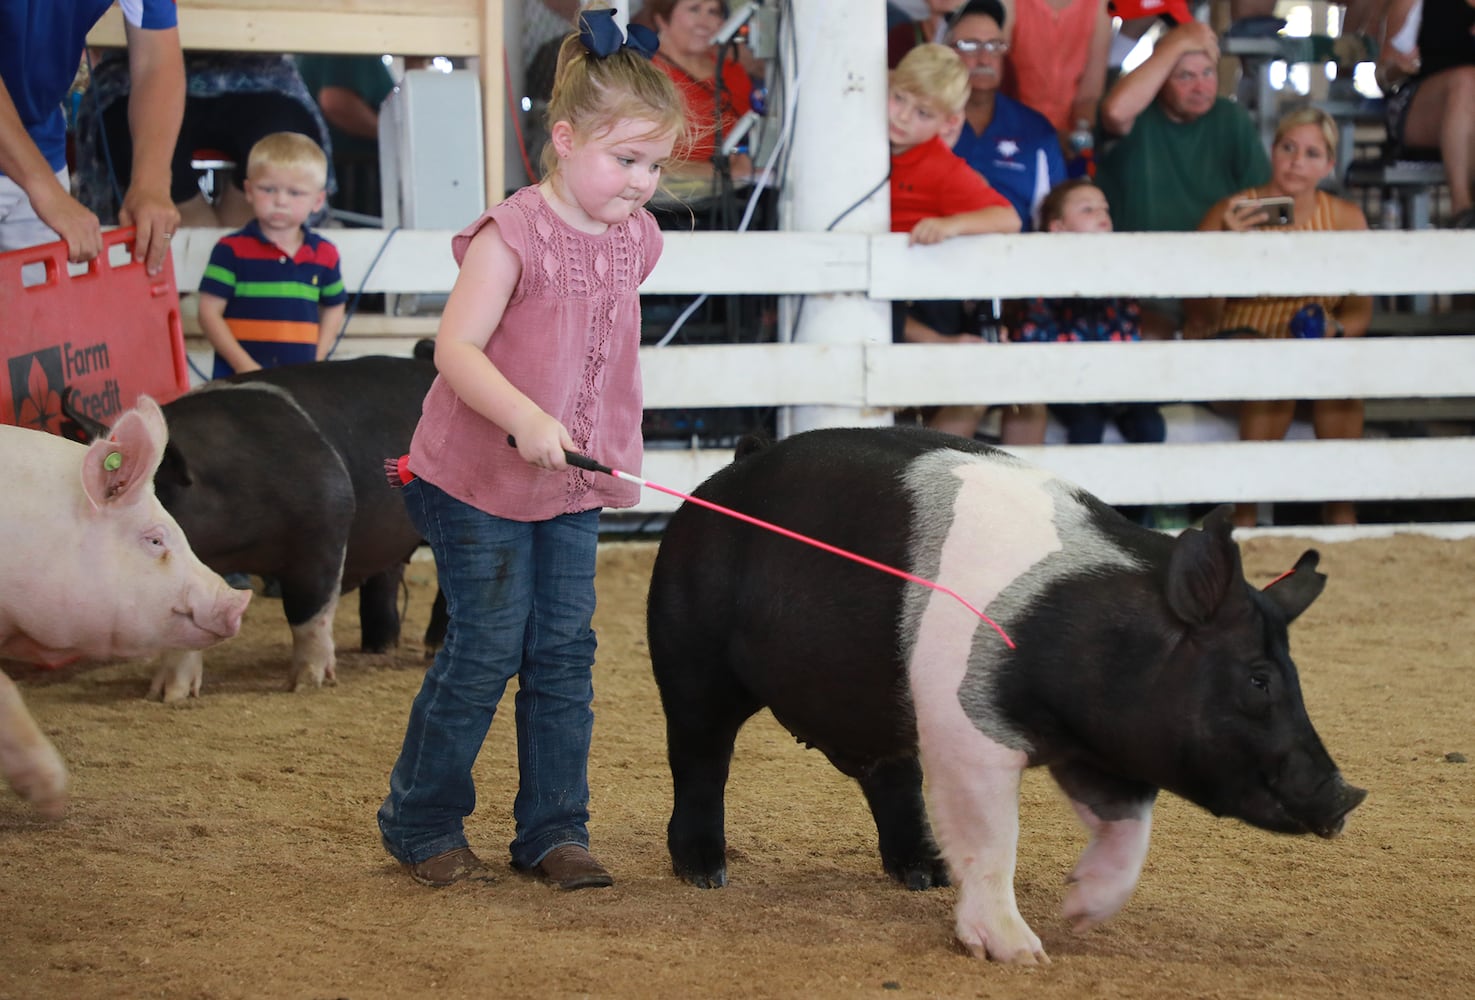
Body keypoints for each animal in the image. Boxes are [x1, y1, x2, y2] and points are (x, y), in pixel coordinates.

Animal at [66, 356, 442, 702]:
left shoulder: (326, 529)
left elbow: (308, 612)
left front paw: (305, 683)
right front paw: (166, 695)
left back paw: (431, 650)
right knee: (388, 575)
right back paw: (379, 646)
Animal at [651, 427, 1362, 967]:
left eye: (1294, 675)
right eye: (1259, 679)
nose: (1347, 794)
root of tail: (735, 464)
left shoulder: (1107, 753)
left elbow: (1128, 836)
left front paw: (1079, 912)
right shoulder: (969, 728)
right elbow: (995, 837)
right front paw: (1023, 953)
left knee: (890, 777)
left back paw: (923, 876)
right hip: (689, 655)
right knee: (700, 758)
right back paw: (706, 872)